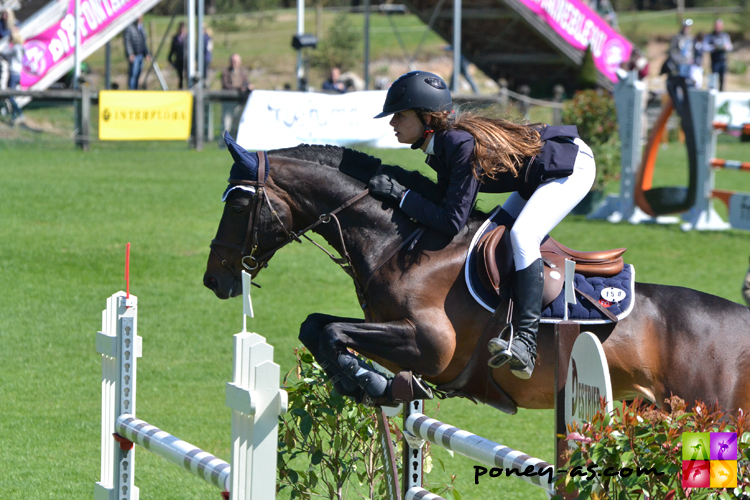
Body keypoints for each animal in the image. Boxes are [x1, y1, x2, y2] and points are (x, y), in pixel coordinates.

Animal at [204, 140, 750, 414]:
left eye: (240, 204)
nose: (214, 280)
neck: (403, 244)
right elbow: (315, 325)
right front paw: (365, 380)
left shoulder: (431, 345)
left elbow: (333, 330)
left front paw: (369, 381)